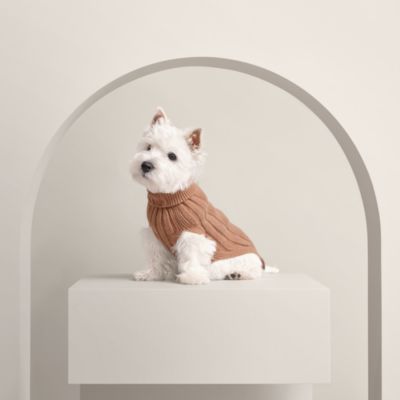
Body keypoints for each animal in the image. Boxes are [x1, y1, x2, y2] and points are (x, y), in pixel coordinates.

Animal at [130, 108, 277, 284]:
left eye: (172, 156)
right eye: (148, 147)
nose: (146, 165)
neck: (169, 197)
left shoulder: (193, 234)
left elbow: (191, 257)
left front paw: (192, 277)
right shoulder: (154, 236)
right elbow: (156, 258)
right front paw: (150, 274)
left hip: (246, 260)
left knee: (255, 271)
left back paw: (237, 274)